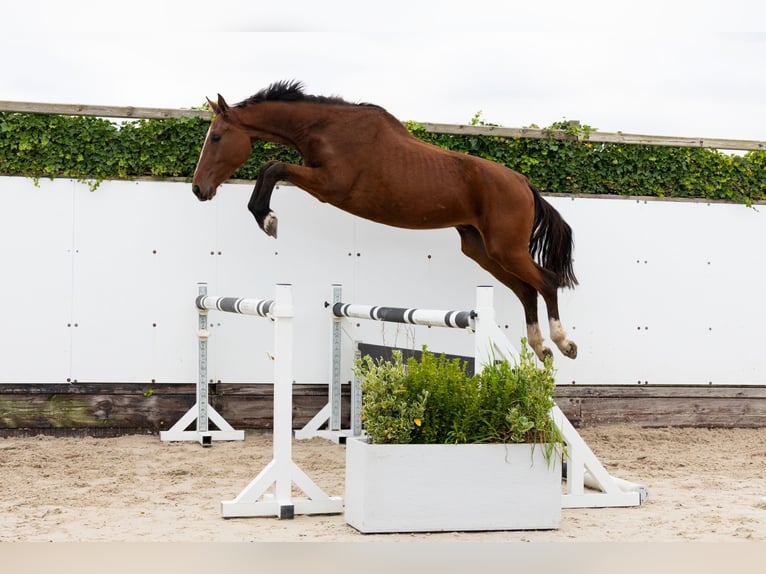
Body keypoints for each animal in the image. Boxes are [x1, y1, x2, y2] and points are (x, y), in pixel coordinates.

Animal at [192, 80, 578, 361]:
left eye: (217, 137)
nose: (198, 189)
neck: (326, 128)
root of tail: (523, 183)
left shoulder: (329, 186)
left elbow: (271, 167)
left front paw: (267, 218)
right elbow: (270, 168)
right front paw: (265, 216)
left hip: (505, 249)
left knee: (547, 281)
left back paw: (563, 343)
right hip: (482, 250)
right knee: (527, 290)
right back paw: (541, 347)